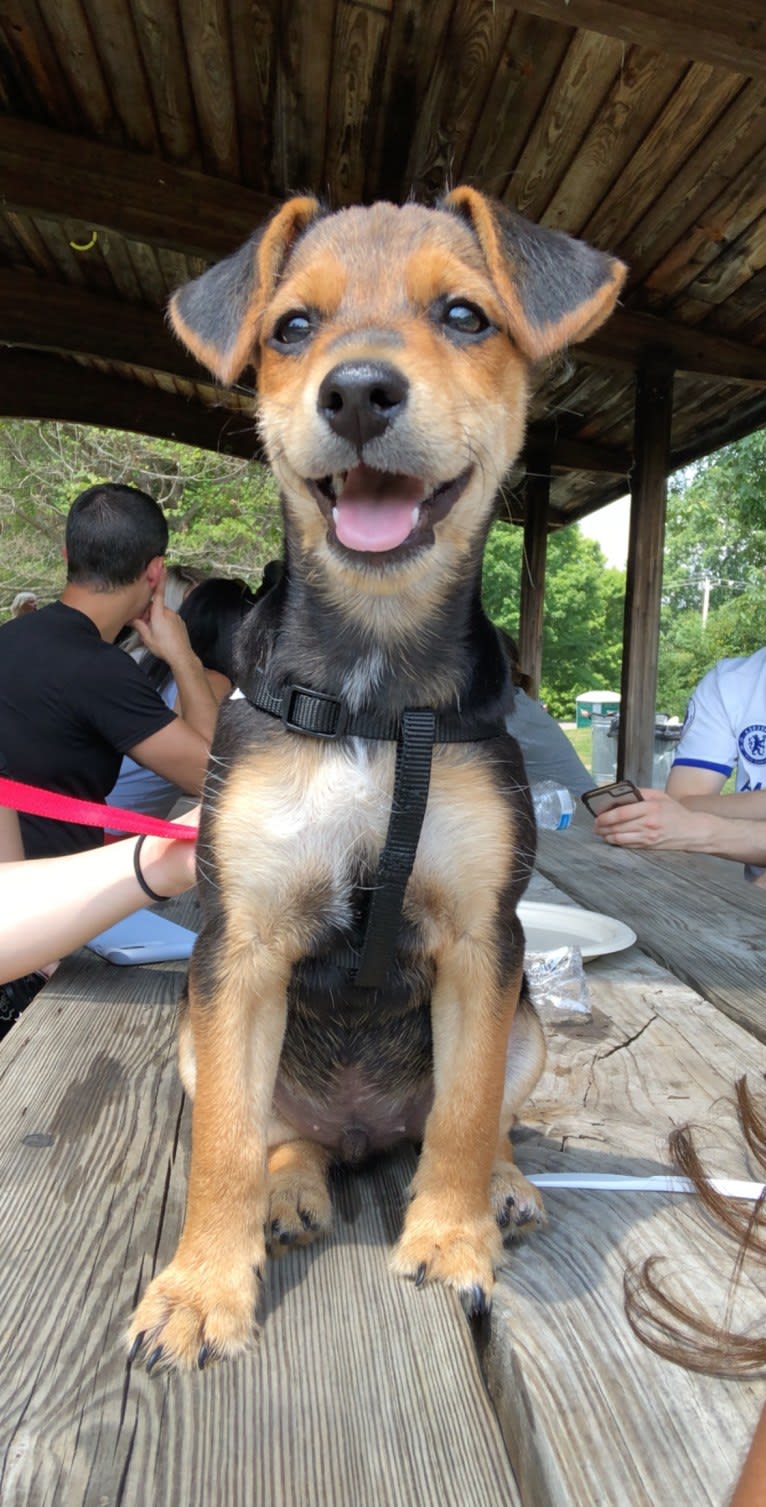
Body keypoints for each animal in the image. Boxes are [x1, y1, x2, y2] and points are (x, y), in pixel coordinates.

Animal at [128, 182, 624, 1374]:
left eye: (466, 316)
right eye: (291, 329)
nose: (355, 390)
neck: (370, 682)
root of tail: (360, 1130)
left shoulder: (485, 942)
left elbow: (463, 1111)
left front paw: (449, 1238)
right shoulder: (240, 947)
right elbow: (221, 1147)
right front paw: (198, 1291)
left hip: (528, 1019)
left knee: (471, 1112)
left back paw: (498, 1186)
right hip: (194, 1040)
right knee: (280, 1132)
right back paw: (293, 1188)